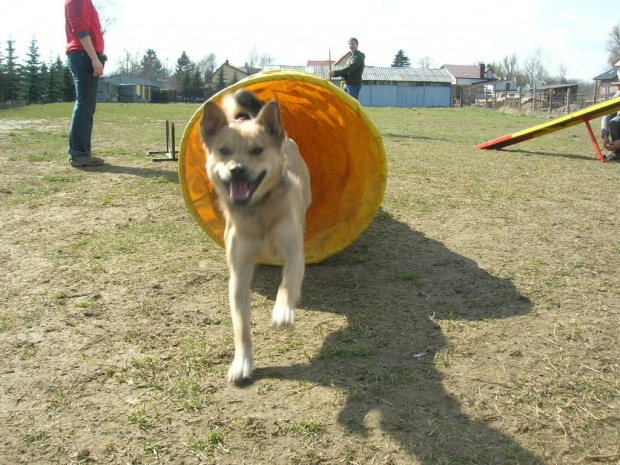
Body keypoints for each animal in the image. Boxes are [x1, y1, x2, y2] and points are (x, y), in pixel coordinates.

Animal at [200, 89, 312, 382]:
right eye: (224, 150)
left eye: (257, 150)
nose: (237, 169)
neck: (258, 211)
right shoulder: (238, 275)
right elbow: (241, 327)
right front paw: (241, 363)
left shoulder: (294, 252)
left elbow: (287, 282)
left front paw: (283, 311)